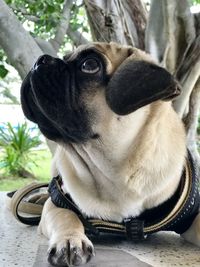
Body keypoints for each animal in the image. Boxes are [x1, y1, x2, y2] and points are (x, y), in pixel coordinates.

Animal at [20, 43, 200, 266]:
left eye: (89, 65)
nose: (41, 60)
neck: (114, 172)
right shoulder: (57, 204)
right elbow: (67, 217)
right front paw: (70, 239)